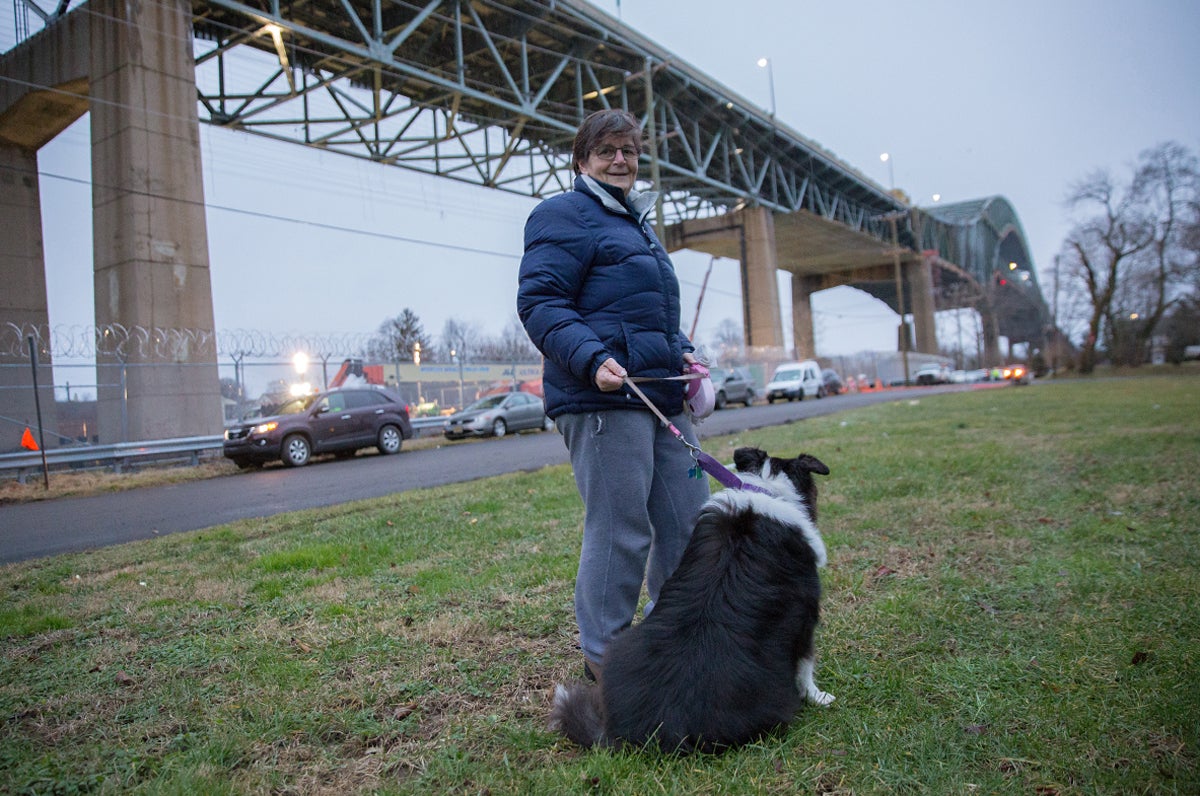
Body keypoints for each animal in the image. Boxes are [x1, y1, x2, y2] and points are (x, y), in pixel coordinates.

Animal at [552, 449, 835, 753]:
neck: (766, 487)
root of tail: (644, 732)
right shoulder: (805, 616)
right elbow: (806, 665)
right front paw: (819, 697)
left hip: (621, 647)